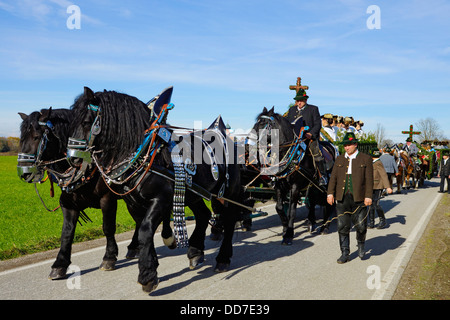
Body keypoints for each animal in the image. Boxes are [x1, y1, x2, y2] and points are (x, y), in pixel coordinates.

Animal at [68, 86, 241, 294]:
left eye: (86, 122)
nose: (72, 158)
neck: (143, 153)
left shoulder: (160, 200)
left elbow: (145, 231)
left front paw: (147, 276)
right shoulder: (133, 204)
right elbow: (145, 231)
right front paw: (152, 266)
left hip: (229, 193)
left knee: (230, 220)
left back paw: (223, 258)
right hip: (194, 194)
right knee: (203, 214)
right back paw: (195, 252)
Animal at [251, 107, 336, 245]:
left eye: (264, 124)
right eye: (256, 123)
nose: (251, 142)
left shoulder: (295, 187)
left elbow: (292, 211)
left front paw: (289, 235)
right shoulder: (279, 186)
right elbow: (279, 208)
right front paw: (285, 228)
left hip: (327, 184)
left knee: (329, 203)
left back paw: (325, 226)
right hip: (313, 186)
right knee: (313, 201)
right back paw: (311, 223)